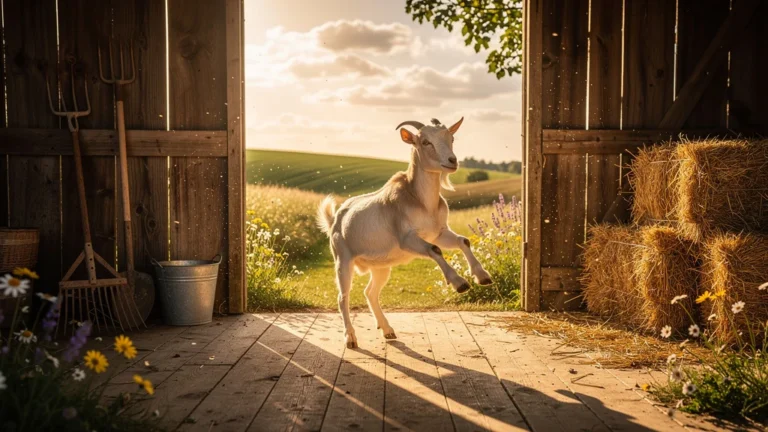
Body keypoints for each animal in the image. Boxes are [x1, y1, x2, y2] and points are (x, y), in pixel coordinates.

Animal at [316, 117, 493, 348]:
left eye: (451, 138)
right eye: (425, 141)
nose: (452, 161)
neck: (421, 201)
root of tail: (336, 218)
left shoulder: (439, 232)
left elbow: (463, 241)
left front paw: (482, 276)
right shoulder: (407, 239)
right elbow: (434, 250)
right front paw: (459, 282)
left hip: (381, 267)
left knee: (370, 292)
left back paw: (387, 330)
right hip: (343, 260)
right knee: (342, 297)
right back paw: (351, 338)